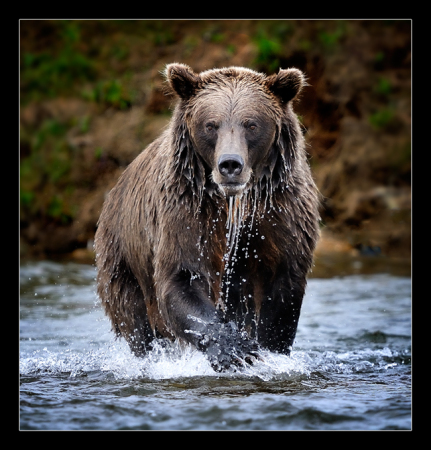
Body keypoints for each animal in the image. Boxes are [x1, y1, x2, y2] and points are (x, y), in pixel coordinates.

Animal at [94, 64, 320, 372]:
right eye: (210, 125)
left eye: (251, 124)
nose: (230, 164)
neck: (234, 204)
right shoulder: (186, 211)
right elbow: (182, 277)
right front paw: (237, 350)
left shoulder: (280, 214)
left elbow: (283, 287)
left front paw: (266, 350)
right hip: (123, 257)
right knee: (136, 320)